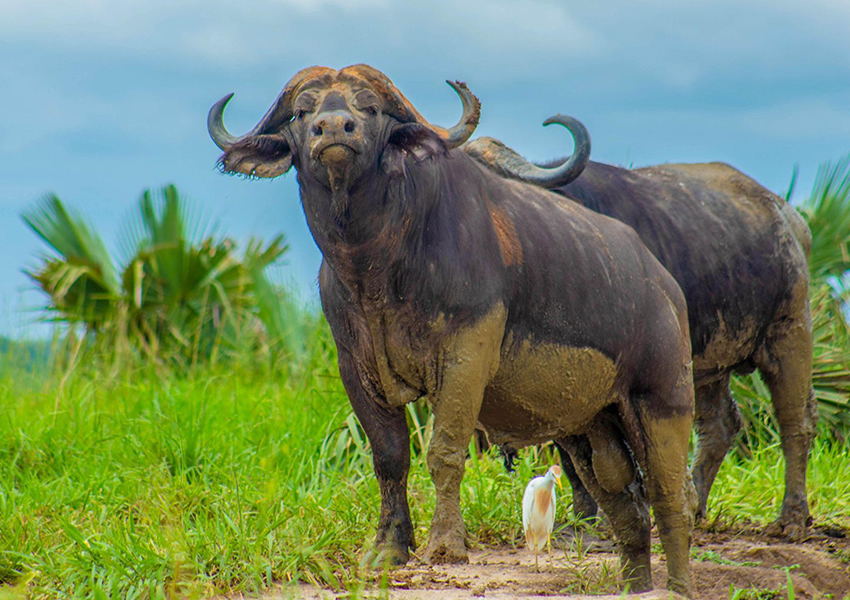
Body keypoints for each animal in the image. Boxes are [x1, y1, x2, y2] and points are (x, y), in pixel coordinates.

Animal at [209, 65, 692, 596]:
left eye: (369, 107)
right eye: (301, 112)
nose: (334, 129)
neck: (377, 267)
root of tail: (665, 286)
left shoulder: (467, 353)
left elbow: (444, 450)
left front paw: (445, 545)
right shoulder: (354, 366)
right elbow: (389, 457)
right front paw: (389, 547)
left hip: (664, 398)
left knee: (670, 494)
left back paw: (680, 584)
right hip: (591, 423)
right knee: (622, 496)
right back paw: (634, 583)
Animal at [464, 132, 816, 540]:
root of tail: (787, 216)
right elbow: (573, 458)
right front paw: (581, 520)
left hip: (789, 332)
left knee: (796, 421)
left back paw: (792, 517)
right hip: (704, 366)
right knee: (721, 426)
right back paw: (695, 508)